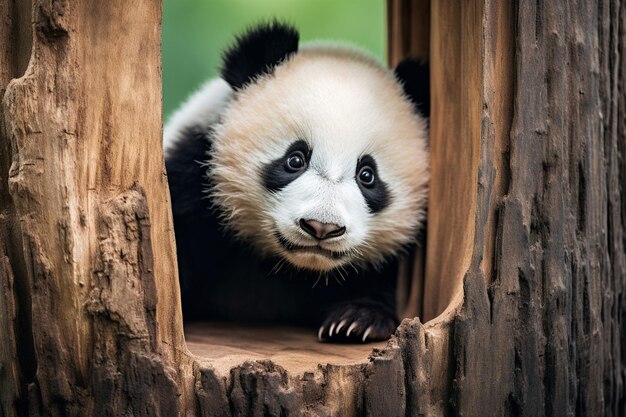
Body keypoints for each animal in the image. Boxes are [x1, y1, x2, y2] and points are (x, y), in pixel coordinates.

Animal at [165, 21, 428, 342]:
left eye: (367, 175)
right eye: (295, 160)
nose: (322, 227)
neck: (294, 269)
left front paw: (357, 320)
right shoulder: (191, 176)